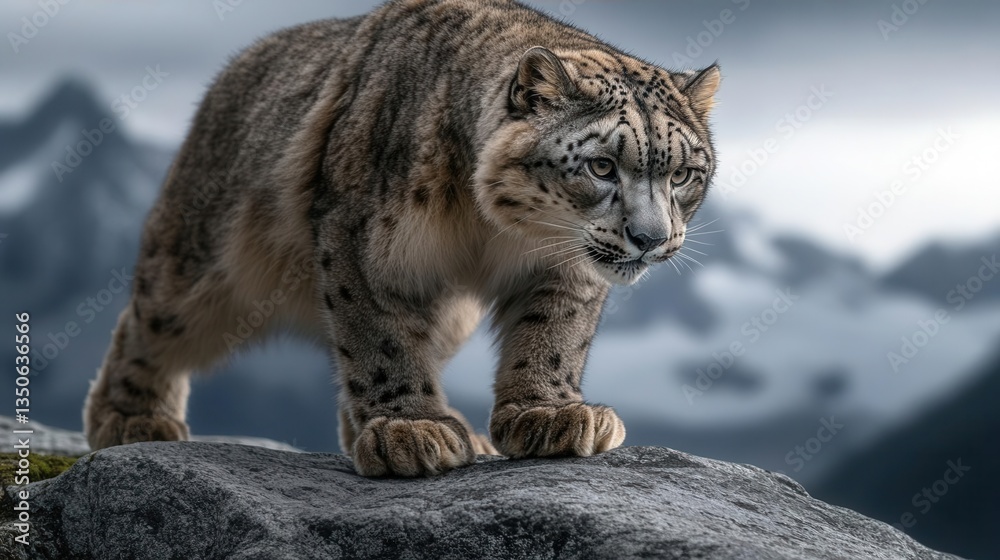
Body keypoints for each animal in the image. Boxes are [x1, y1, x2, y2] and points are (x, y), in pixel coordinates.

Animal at [84, 0, 720, 477]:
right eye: (602, 167)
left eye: (683, 174)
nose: (650, 237)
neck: (495, 231)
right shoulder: (363, 244)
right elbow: (378, 334)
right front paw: (410, 428)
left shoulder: (564, 268)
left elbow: (554, 334)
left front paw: (551, 415)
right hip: (201, 260)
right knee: (150, 321)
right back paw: (130, 417)